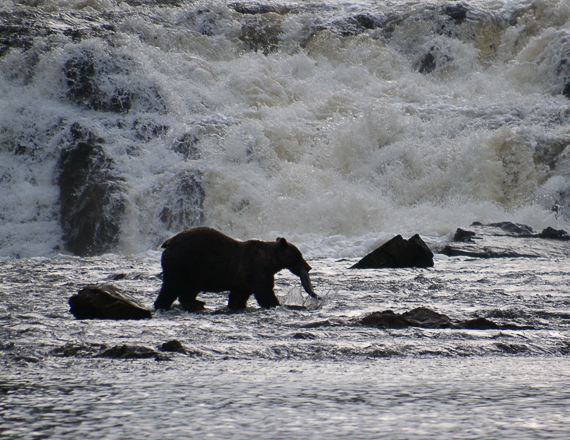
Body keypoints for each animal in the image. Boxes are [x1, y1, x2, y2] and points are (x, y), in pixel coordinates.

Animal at [153, 227, 318, 310]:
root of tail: (168, 242)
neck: (270, 261)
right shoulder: (257, 270)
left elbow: (239, 294)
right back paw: (163, 304)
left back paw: (196, 302)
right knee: (172, 286)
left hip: (193, 271)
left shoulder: (243, 279)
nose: (308, 267)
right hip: (186, 262)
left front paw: (237, 305)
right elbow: (264, 291)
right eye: (299, 255)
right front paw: (275, 303)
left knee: (187, 289)